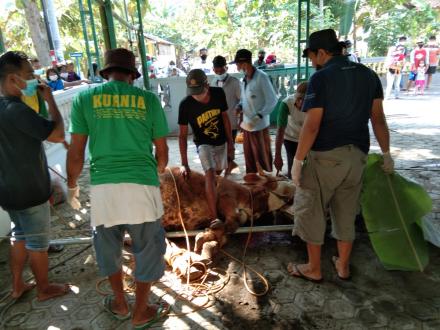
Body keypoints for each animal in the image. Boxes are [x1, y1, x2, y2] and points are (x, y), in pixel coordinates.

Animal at [160, 169, 294, 260]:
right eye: (282, 179)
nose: (290, 198)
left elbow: (227, 230)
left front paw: (207, 239)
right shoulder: (226, 195)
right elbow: (232, 219)